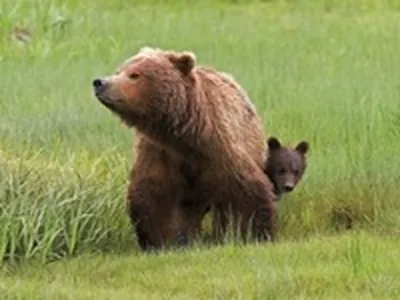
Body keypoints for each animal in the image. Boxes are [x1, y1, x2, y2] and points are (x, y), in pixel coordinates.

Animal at [92, 45, 276, 250]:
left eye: (134, 74)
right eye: (119, 71)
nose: (100, 82)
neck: (184, 138)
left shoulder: (220, 149)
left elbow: (246, 191)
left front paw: (254, 234)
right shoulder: (159, 152)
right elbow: (151, 195)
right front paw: (158, 242)